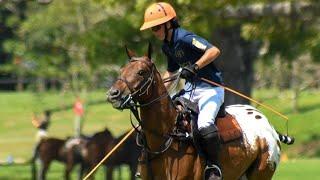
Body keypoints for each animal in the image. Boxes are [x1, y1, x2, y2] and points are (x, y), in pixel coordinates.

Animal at [107, 44, 296, 180]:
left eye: (141, 72)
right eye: (121, 70)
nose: (112, 94)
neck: (165, 137)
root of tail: (268, 124)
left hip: (262, 172)